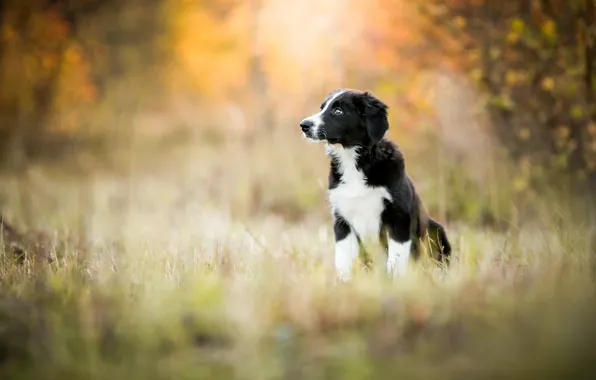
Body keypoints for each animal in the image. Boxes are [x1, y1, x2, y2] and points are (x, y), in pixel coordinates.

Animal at [298, 87, 452, 280]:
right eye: (322, 107)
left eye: (338, 111)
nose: (303, 125)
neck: (354, 161)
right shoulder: (342, 220)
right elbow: (343, 260)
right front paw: (343, 283)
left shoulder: (398, 217)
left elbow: (396, 259)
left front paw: (394, 282)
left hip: (435, 229)